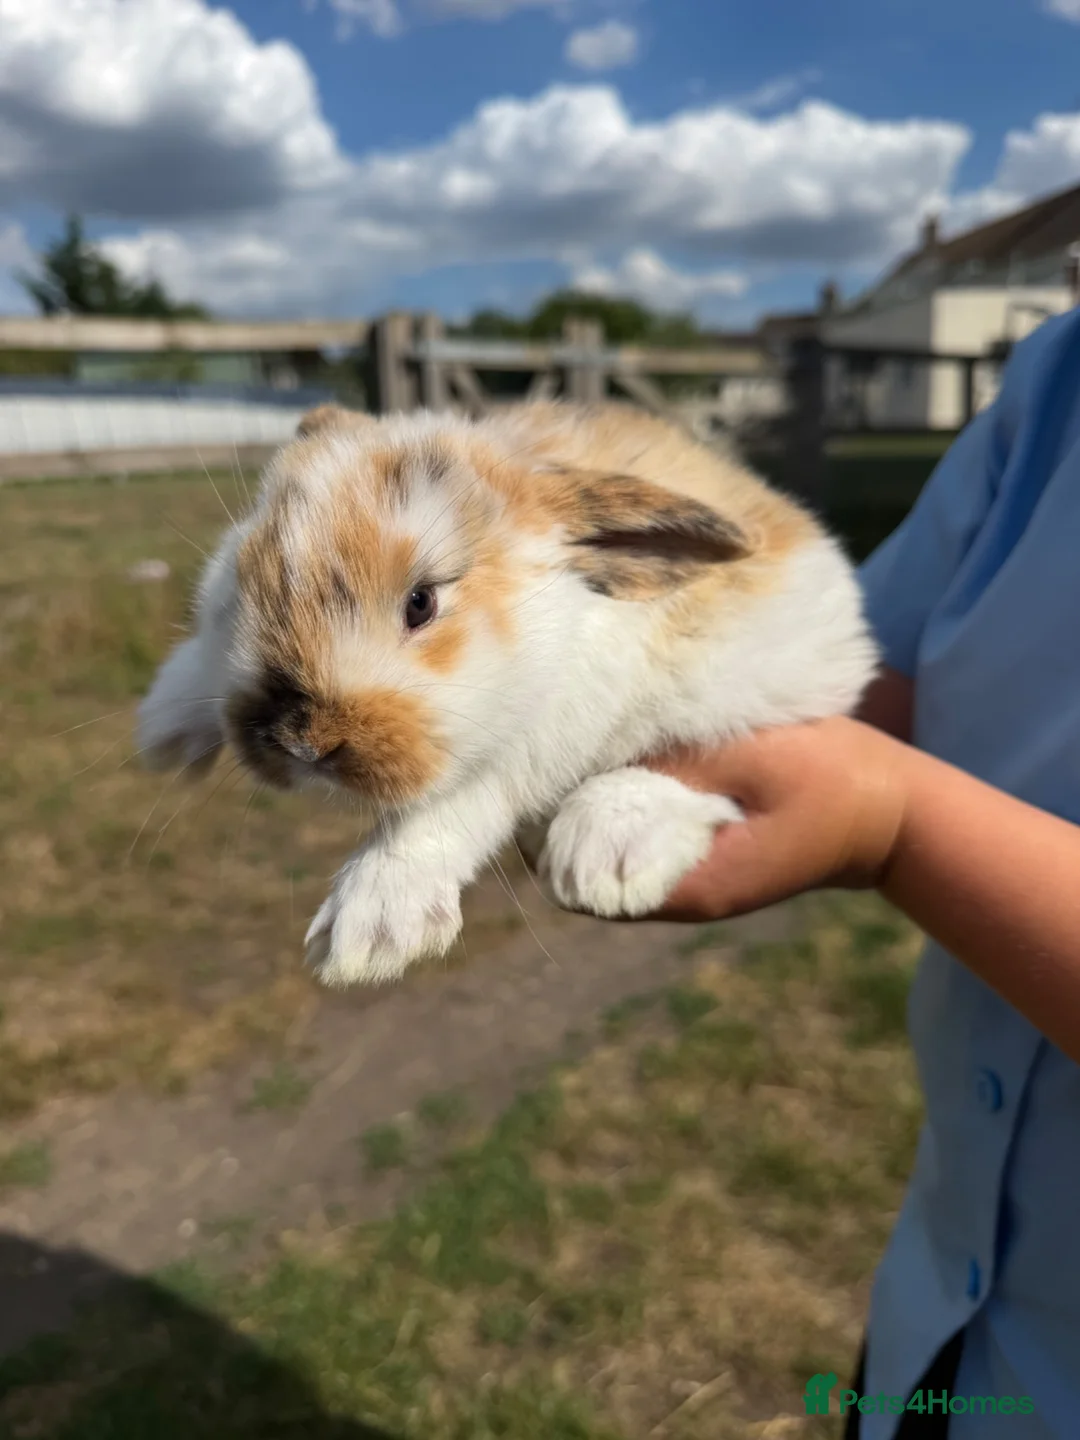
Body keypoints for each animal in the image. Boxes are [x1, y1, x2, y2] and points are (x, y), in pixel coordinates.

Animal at [137, 400, 878, 987]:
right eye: (242, 581)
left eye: (421, 603)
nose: (301, 742)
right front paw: (164, 725)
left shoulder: (538, 738)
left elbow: (459, 802)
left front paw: (369, 929)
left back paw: (607, 849)